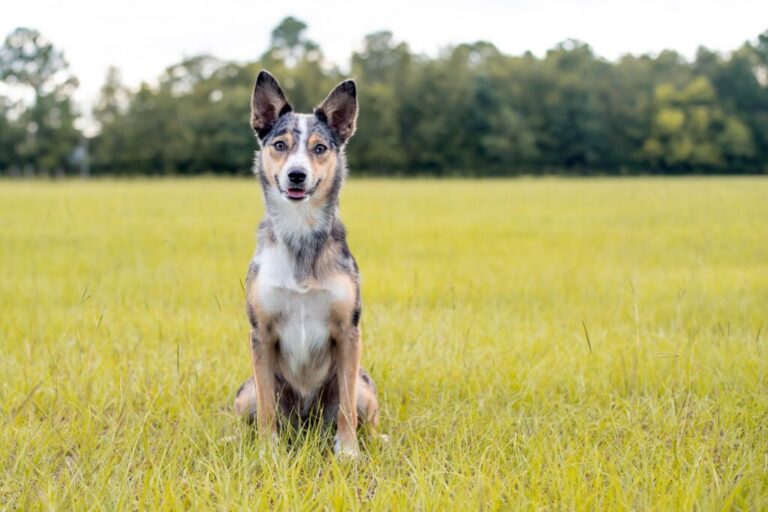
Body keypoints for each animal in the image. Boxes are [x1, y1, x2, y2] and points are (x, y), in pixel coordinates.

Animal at [232, 69, 380, 456]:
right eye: (280, 145)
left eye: (320, 148)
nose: (296, 175)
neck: (300, 232)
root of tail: (305, 423)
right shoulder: (261, 334)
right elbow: (266, 407)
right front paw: (267, 452)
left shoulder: (348, 333)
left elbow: (346, 408)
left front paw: (348, 452)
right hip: (245, 390)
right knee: (249, 410)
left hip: (364, 383)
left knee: (363, 412)